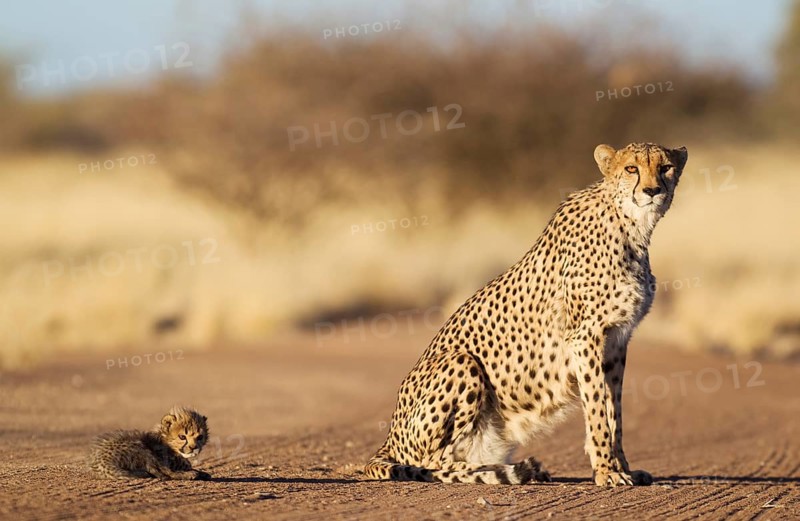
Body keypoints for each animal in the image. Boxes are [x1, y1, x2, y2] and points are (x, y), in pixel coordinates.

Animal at [365, 142, 688, 486]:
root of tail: (388, 439)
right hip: (461, 362)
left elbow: (615, 411)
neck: (630, 225)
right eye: (631, 169)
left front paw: (623, 467)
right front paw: (606, 471)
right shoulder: (585, 337)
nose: (652, 190)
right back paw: (496, 471)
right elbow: (597, 410)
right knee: (432, 463)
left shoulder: (616, 341)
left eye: (665, 167)